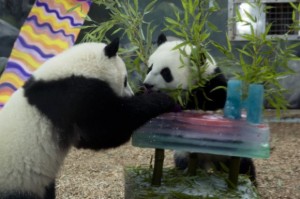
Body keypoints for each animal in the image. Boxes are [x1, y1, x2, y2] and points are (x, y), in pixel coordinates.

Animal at [0, 38, 176, 199]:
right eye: (125, 80)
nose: (130, 95)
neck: (78, 69)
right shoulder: (74, 97)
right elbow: (107, 128)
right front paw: (162, 99)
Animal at [143, 33, 255, 185]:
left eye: (166, 73)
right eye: (150, 68)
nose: (147, 84)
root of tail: (210, 162)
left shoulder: (213, 84)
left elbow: (209, 102)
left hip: (233, 153)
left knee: (245, 167)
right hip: (182, 153)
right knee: (182, 163)